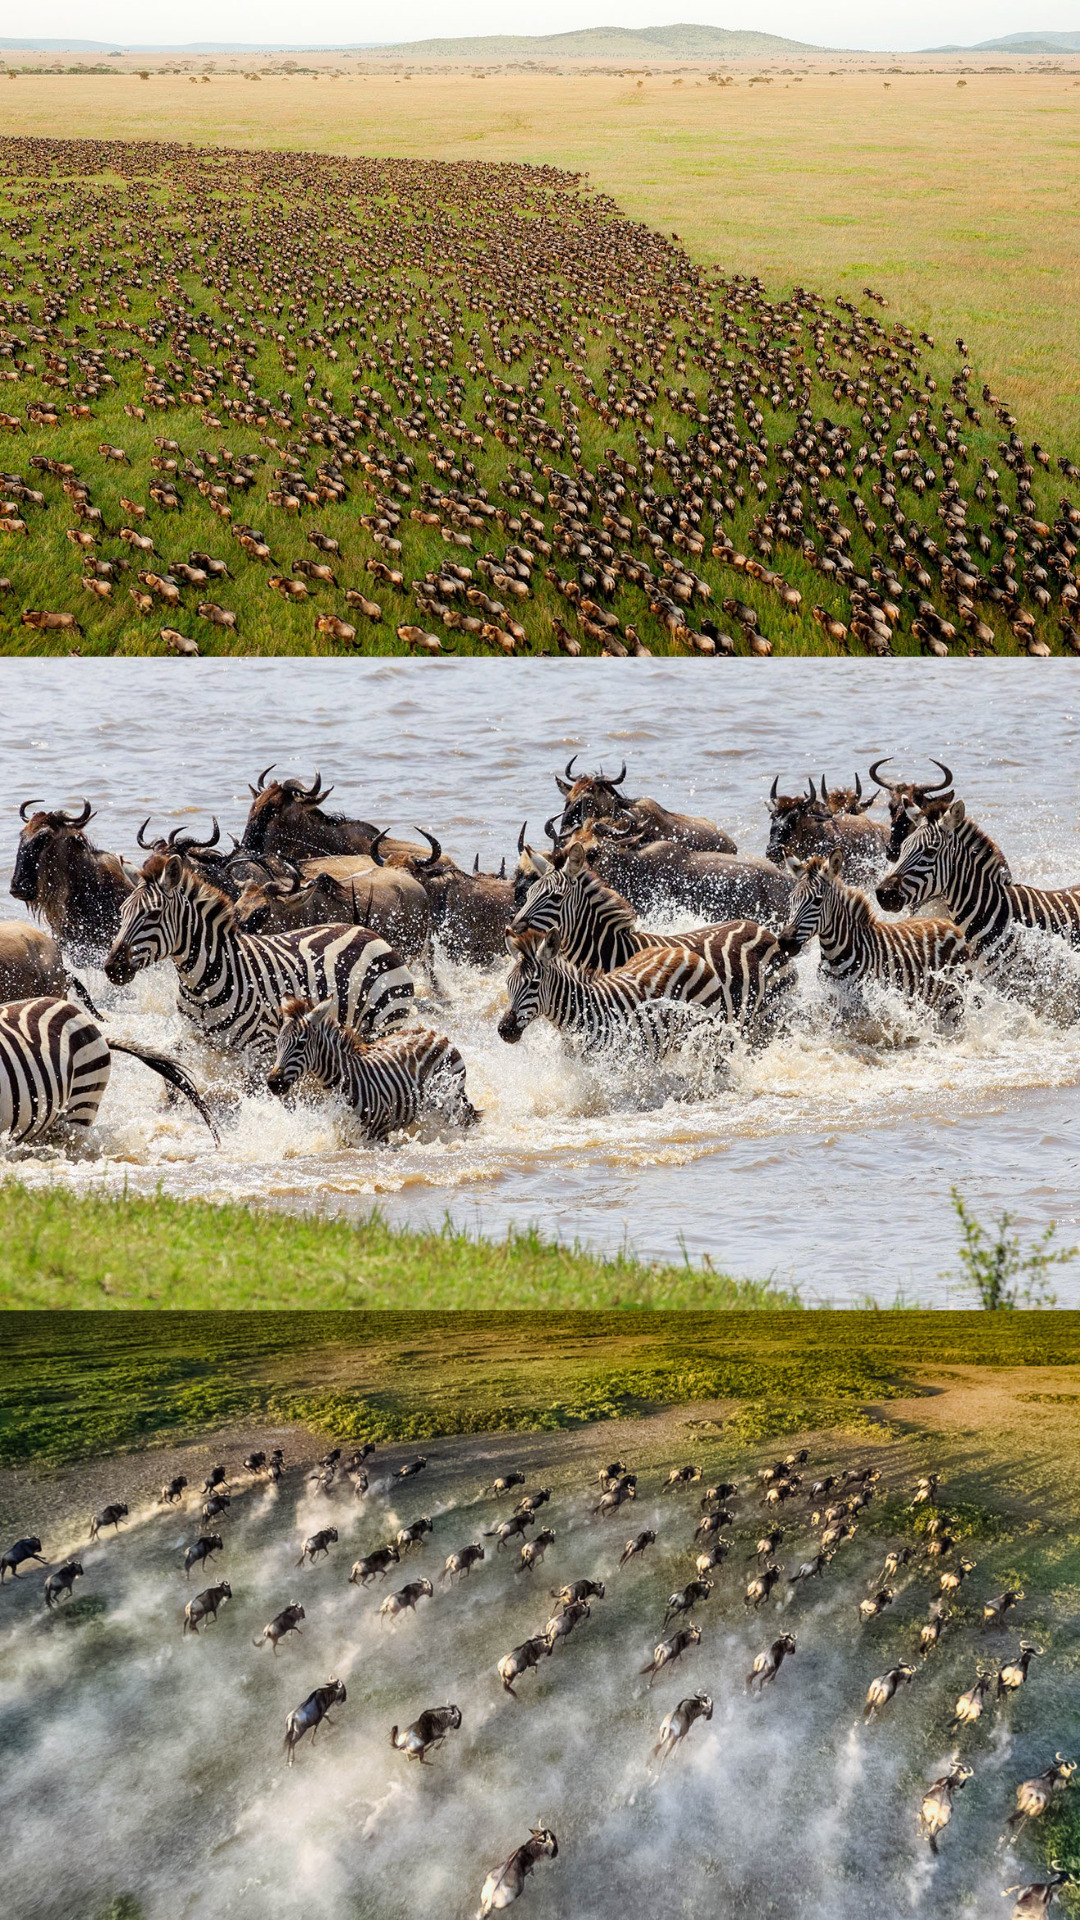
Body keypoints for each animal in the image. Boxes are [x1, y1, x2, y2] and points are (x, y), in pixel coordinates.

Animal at [104, 853, 414, 1071]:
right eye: (122, 911)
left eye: (153, 914)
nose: (112, 968)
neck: (201, 984)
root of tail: (367, 931)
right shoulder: (195, 1042)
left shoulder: (263, 1048)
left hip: (387, 1020)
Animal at [266, 996, 478, 1142]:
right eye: (277, 1044)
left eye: (301, 1044)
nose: (273, 1083)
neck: (344, 1080)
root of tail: (435, 1034)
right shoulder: (347, 1135)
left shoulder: (378, 1134)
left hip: (450, 1101)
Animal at [499, 927, 765, 1059]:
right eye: (508, 984)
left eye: (534, 983)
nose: (504, 1030)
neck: (583, 1014)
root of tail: (683, 951)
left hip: (703, 1031)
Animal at [513, 844, 794, 1042]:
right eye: (529, 893)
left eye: (555, 897)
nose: (514, 928)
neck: (614, 952)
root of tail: (761, 929)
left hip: (771, 1012)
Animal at [780, 850, 969, 1024]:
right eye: (791, 899)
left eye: (817, 901)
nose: (784, 941)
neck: (835, 954)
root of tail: (949, 924)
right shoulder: (833, 1000)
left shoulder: (866, 1003)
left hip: (953, 998)